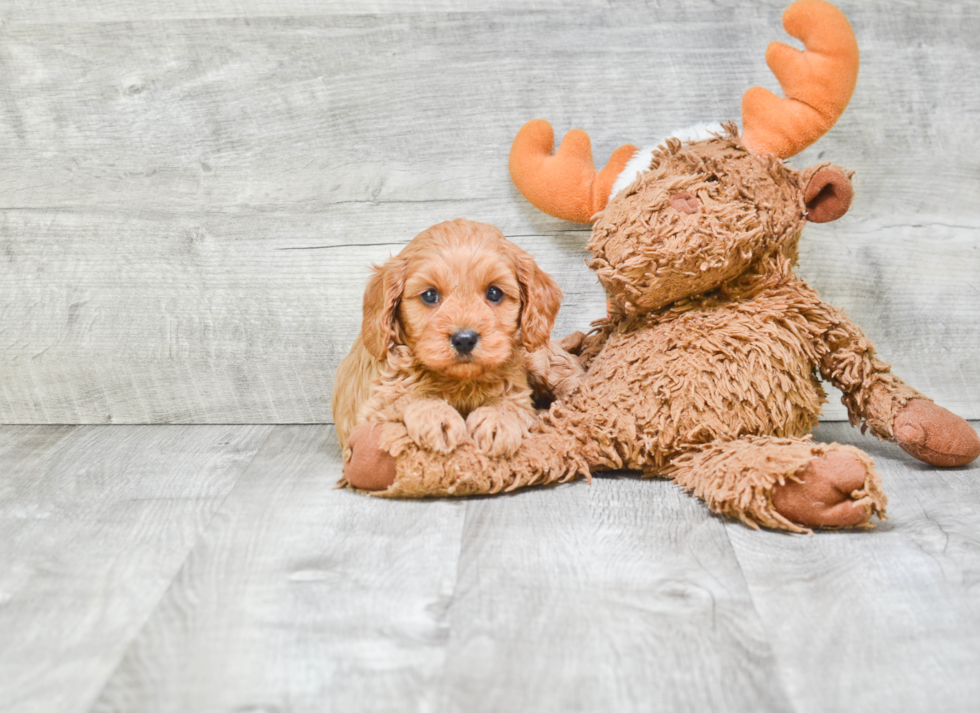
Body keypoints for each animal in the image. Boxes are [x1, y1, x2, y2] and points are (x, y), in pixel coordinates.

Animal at [334, 217, 564, 458]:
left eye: (494, 293)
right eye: (429, 295)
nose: (464, 339)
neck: (459, 381)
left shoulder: (517, 387)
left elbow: (513, 401)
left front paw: (498, 420)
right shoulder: (374, 406)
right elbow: (407, 396)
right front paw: (438, 416)